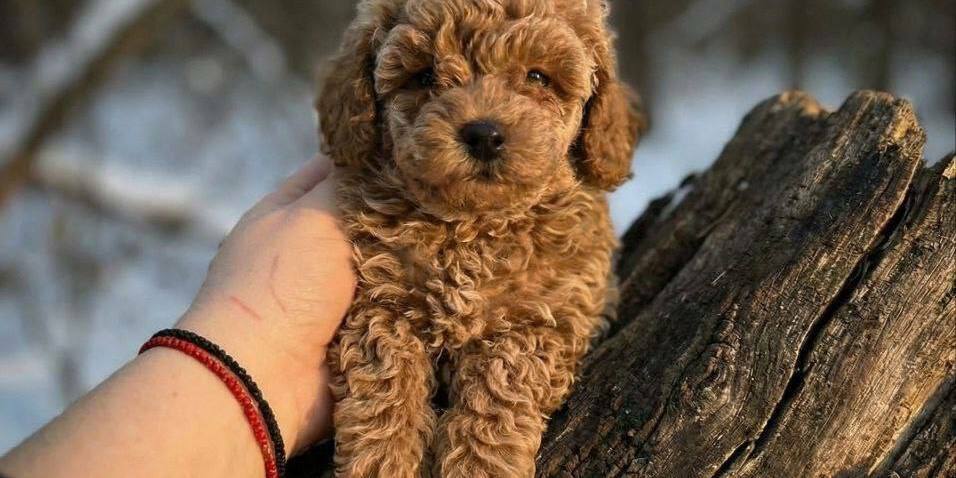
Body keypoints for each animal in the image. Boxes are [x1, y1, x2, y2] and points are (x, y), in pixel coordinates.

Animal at [317, 1, 643, 476]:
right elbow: (386, 380)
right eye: (425, 76)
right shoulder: (380, 300)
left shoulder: (549, 313)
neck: (473, 227)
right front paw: (383, 461)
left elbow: (503, 380)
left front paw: (482, 464)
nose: (484, 134)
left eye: (538, 77)